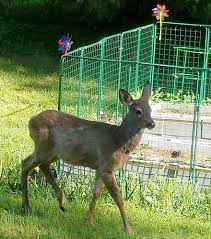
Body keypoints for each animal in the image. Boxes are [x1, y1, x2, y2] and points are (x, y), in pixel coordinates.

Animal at [21, 81, 155, 234]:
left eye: (150, 109)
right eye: (138, 111)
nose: (152, 123)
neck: (118, 141)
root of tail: (31, 120)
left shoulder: (100, 168)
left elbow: (96, 193)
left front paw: (88, 220)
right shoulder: (107, 166)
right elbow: (118, 198)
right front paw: (128, 229)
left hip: (53, 153)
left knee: (42, 166)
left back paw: (61, 202)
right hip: (43, 147)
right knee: (25, 163)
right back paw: (26, 206)